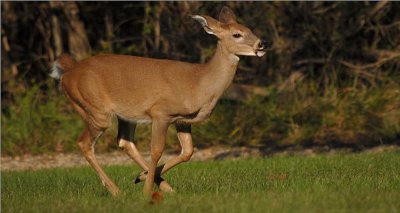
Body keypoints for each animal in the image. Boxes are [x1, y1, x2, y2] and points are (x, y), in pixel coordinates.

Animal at [50, 6, 268, 196]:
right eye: (237, 34)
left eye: (250, 30)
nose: (261, 44)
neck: (199, 83)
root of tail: (68, 72)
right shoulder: (161, 112)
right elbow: (156, 151)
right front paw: (146, 191)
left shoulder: (182, 119)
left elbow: (188, 152)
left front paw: (143, 177)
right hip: (96, 110)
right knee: (84, 143)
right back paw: (116, 190)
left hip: (126, 115)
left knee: (124, 142)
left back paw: (160, 184)